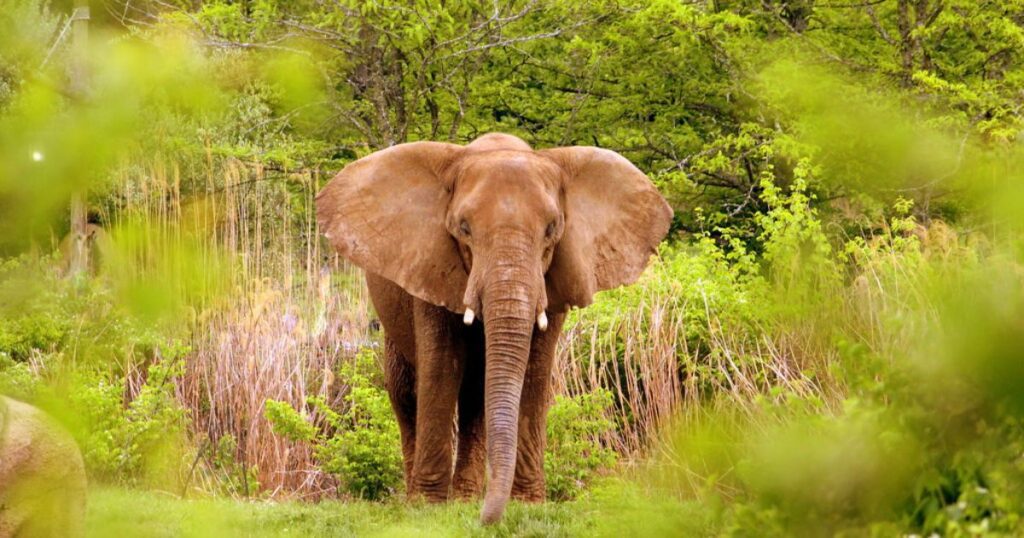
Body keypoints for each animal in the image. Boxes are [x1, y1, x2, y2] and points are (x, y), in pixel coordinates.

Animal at [317, 132, 671, 522]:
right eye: (464, 228)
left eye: (551, 229)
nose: (487, 519)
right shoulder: (432, 264)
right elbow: (441, 369)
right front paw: (427, 507)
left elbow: (533, 375)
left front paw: (527, 504)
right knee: (405, 391)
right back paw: (421, 497)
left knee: (476, 396)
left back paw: (466, 498)